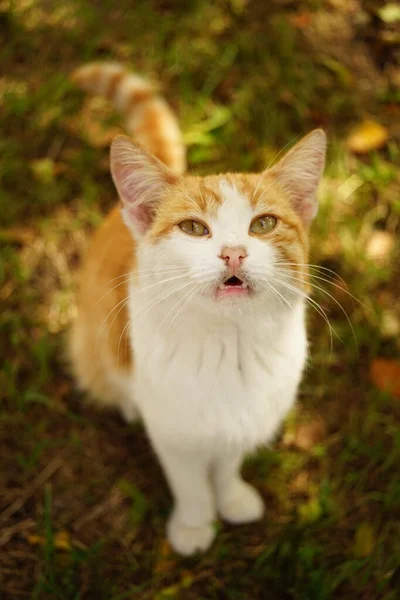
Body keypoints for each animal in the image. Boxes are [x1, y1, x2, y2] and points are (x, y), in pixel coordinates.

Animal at [69, 63, 324, 556]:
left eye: (264, 223)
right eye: (193, 228)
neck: (229, 345)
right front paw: (193, 524)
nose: (233, 253)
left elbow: (225, 466)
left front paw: (231, 498)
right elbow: (188, 481)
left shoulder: (245, 421)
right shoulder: (175, 432)